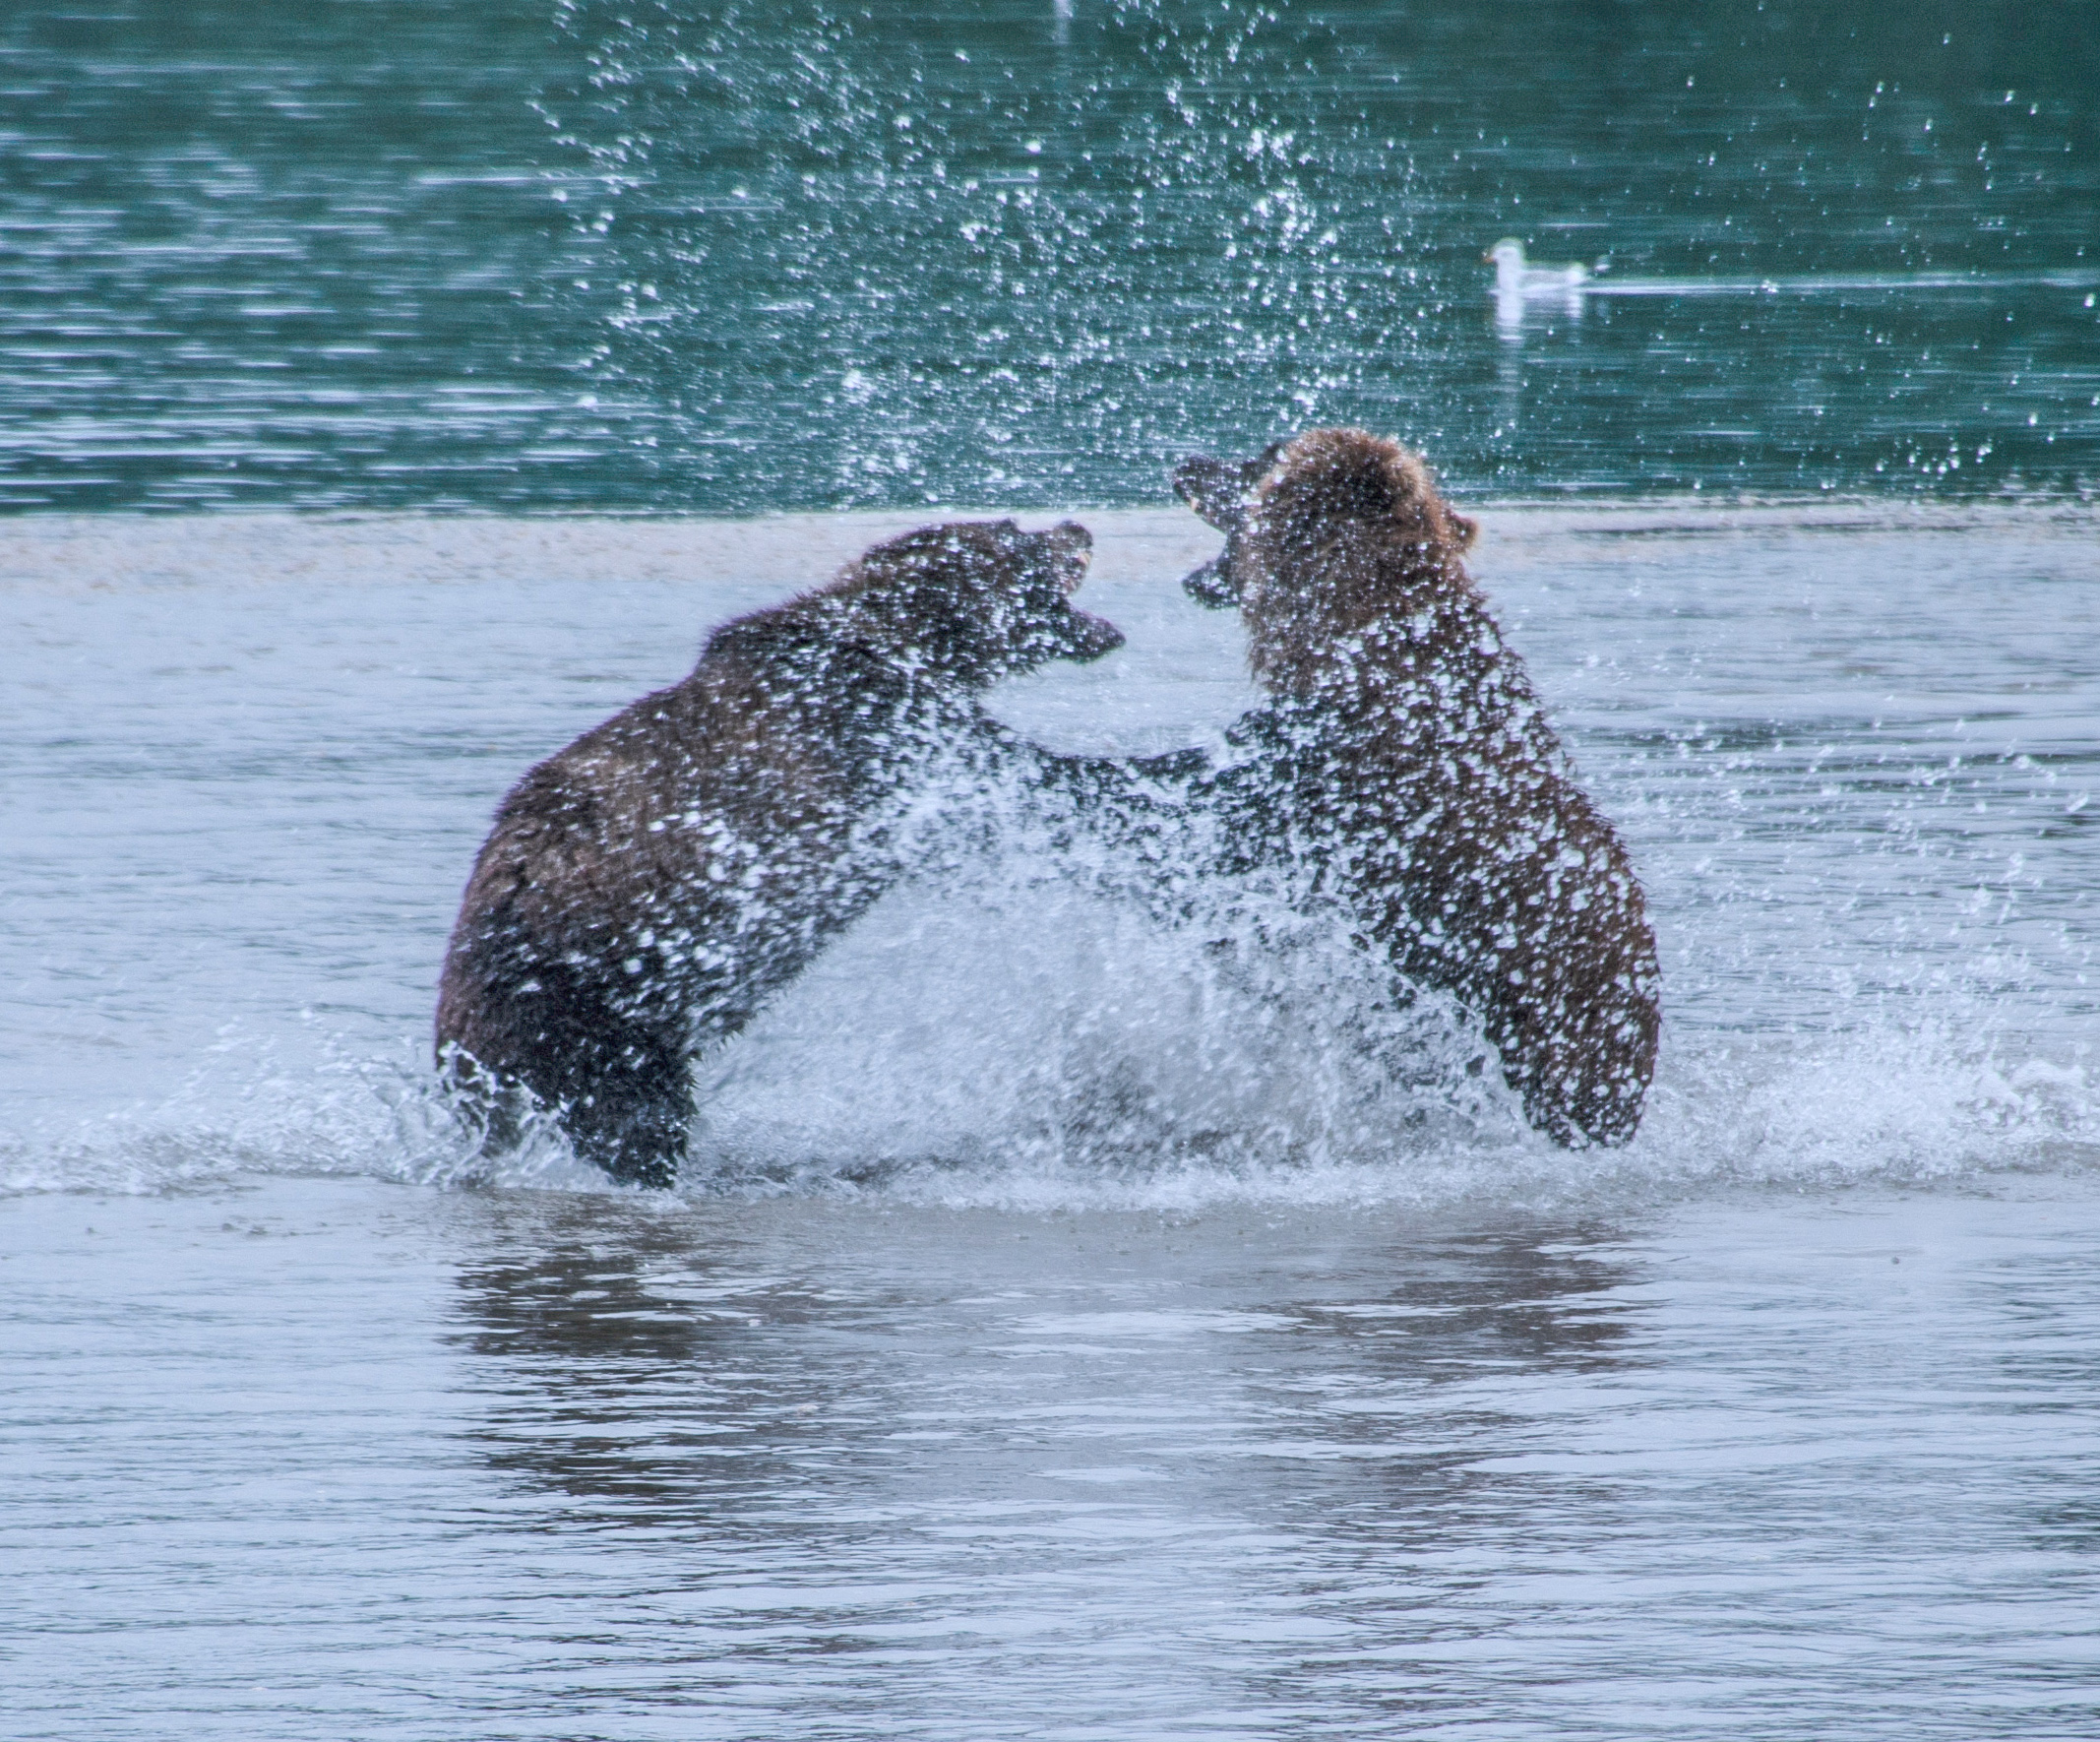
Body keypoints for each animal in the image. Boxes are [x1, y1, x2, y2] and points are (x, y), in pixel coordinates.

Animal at [432, 523, 1125, 1193]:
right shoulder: (863, 726)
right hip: (576, 1016)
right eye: (1015, 535)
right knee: (627, 1120)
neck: (900, 646)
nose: (1077, 526)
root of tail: (456, 1042)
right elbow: (1015, 781)